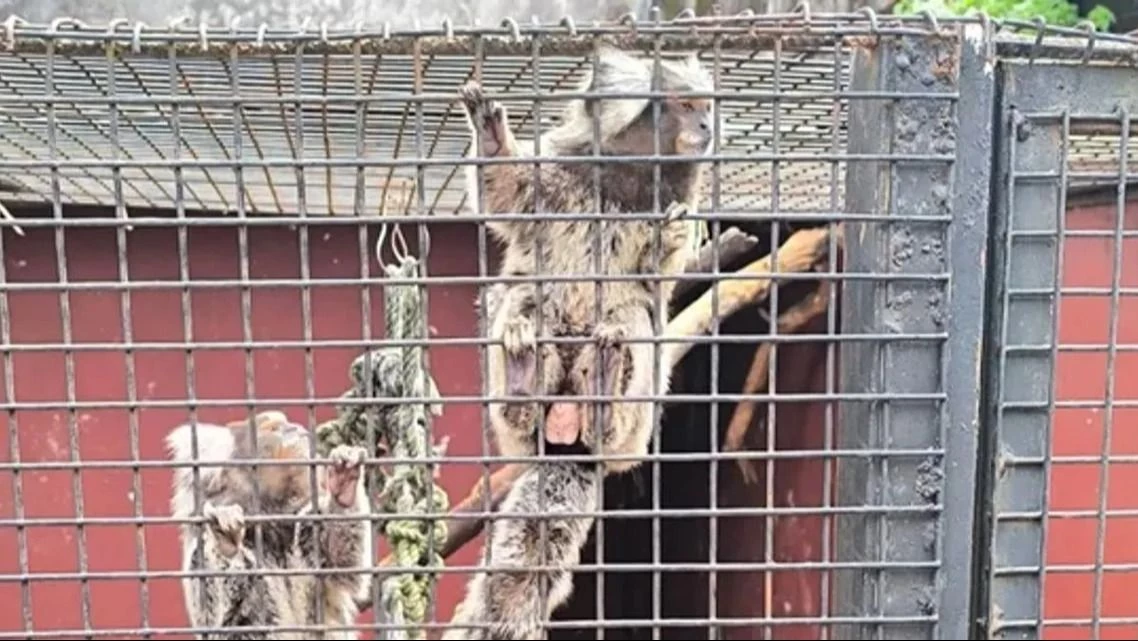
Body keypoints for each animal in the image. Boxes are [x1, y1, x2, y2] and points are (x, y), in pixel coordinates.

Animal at [165, 411, 373, 640]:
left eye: (287, 422)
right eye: (273, 428)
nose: (296, 427)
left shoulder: (300, 524)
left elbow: (343, 567)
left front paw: (343, 487)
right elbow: (217, 620)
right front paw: (226, 545)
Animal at [459, 44, 715, 475]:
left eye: (708, 107)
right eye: (687, 105)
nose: (707, 126)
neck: (630, 169)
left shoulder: (684, 199)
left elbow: (654, 278)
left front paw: (667, 241)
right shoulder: (556, 169)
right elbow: (506, 192)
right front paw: (492, 138)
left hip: (636, 425)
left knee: (635, 317)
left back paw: (603, 397)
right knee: (522, 296)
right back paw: (521, 384)